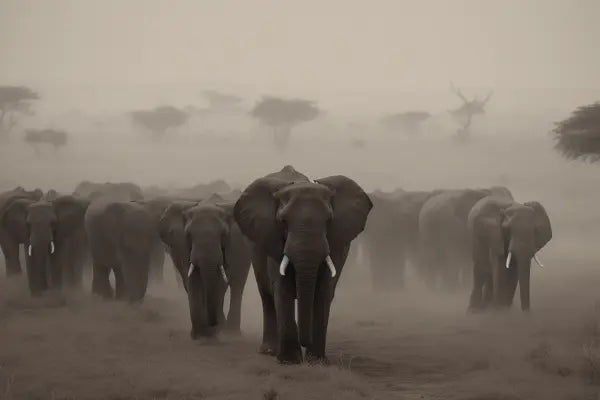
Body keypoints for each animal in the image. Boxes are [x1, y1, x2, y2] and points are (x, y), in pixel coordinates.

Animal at [158, 194, 252, 338]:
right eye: (188, 235)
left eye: (223, 235)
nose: (212, 325)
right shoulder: (181, 246)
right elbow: (192, 279)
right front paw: (199, 335)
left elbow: (219, 282)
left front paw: (213, 331)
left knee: (237, 284)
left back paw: (231, 332)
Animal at [233, 164, 370, 364]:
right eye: (283, 221)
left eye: (328, 220)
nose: (305, 342)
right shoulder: (273, 239)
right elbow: (282, 288)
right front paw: (289, 361)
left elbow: (323, 291)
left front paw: (317, 362)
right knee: (267, 296)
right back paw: (269, 351)